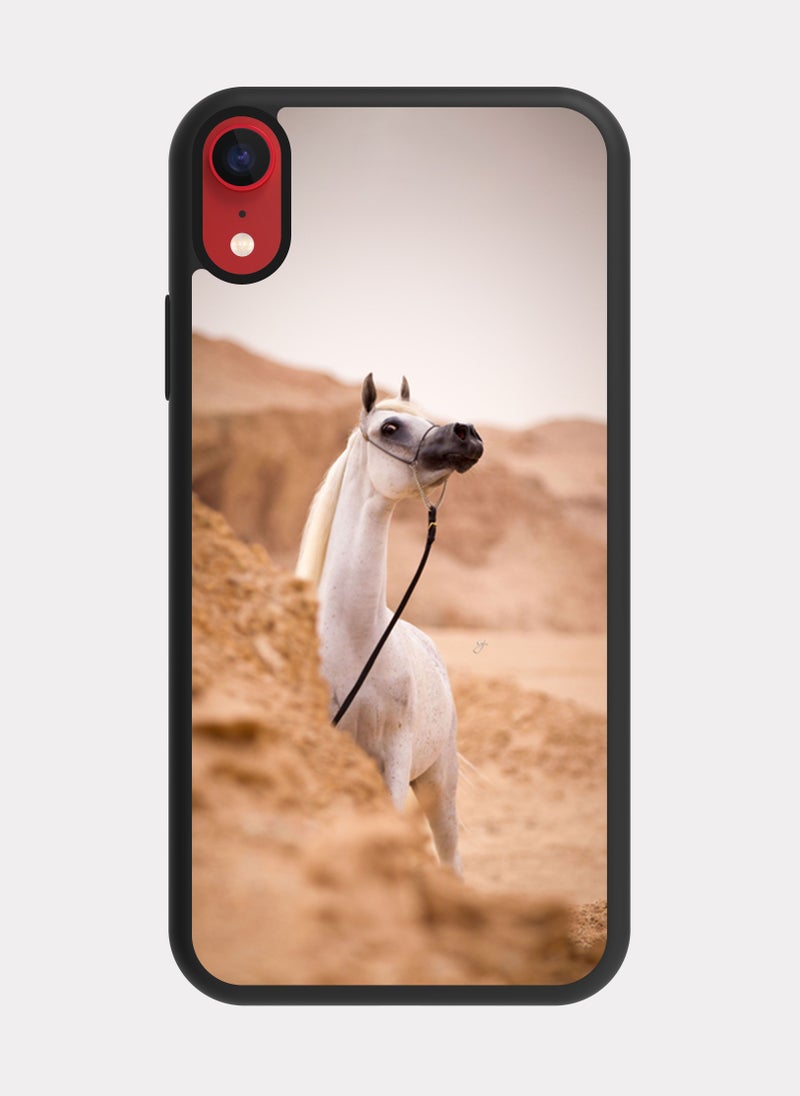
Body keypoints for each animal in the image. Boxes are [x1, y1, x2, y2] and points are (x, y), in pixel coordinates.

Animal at [295, 373, 483, 874]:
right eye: (391, 427)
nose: (468, 433)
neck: (353, 641)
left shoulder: (394, 764)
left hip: (439, 782)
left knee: (450, 859)